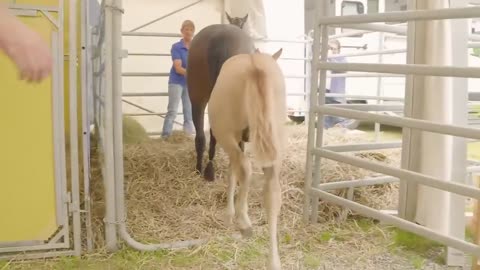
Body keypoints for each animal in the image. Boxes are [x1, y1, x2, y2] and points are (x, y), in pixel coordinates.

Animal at [207, 49, 284, 270]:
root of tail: (255, 64)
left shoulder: (234, 140)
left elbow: (233, 173)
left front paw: (229, 214)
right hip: (273, 142)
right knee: (272, 192)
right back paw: (273, 261)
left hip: (227, 134)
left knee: (245, 168)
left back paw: (243, 221)